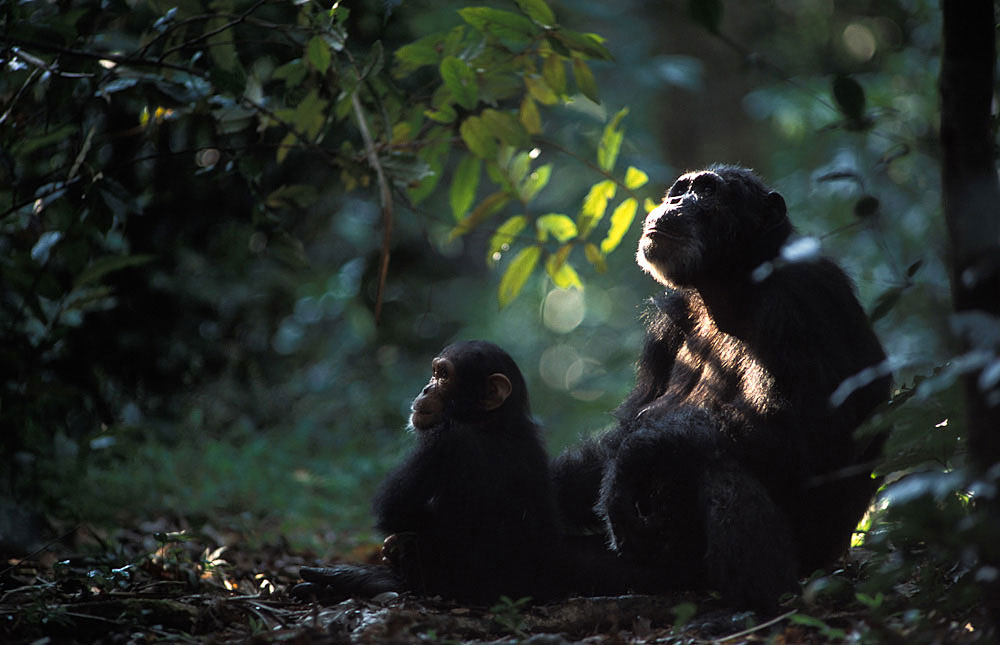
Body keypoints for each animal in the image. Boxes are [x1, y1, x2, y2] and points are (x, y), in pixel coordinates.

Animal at [292, 342, 636, 604]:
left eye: (444, 376)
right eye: (434, 372)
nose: (426, 388)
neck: (489, 419)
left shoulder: (443, 440)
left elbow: (395, 509)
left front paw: (396, 548)